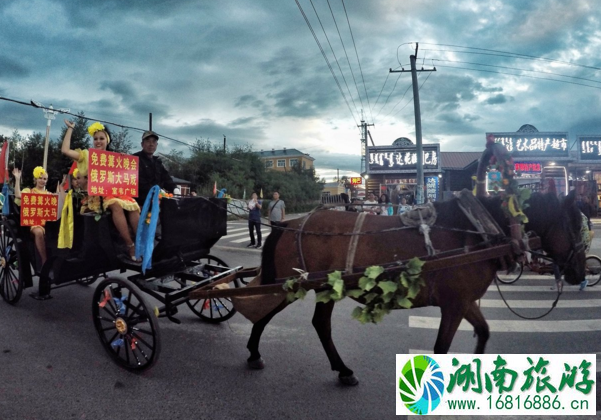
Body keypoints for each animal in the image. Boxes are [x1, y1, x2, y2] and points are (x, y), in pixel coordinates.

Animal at [245, 192, 584, 386]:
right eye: (577, 227)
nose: (582, 272)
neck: (477, 232)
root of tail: (289, 224)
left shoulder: (463, 302)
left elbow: (484, 332)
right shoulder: (454, 305)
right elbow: (441, 350)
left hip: (324, 288)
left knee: (318, 324)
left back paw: (342, 370)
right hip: (292, 284)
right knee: (264, 312)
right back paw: (254, 352)